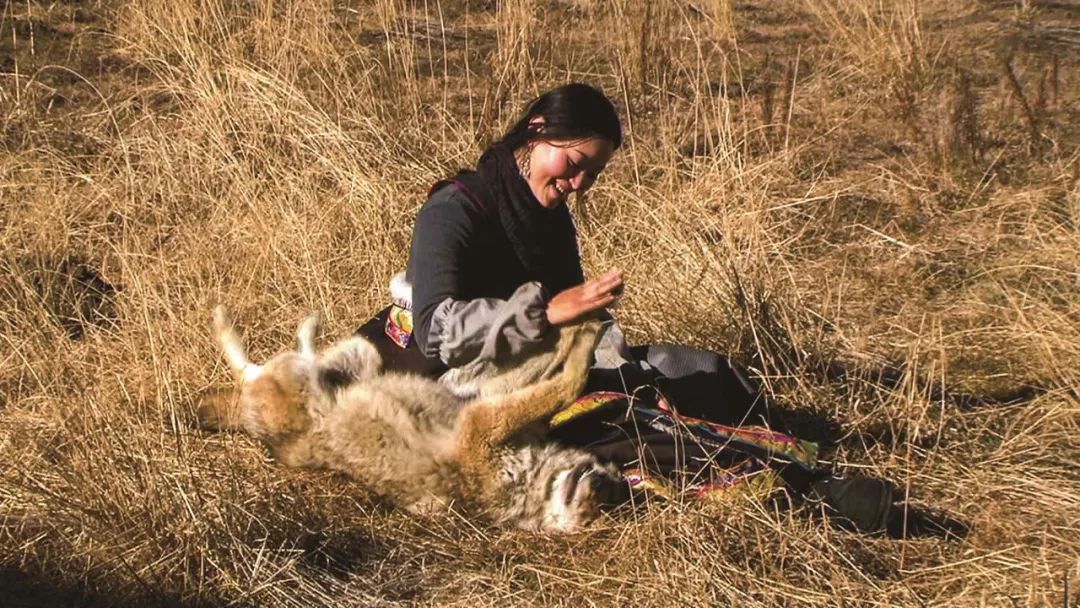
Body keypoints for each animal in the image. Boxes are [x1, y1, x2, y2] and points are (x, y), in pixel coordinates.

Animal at [198, 308, 630, 533]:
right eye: (605, 494)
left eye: (597, 509)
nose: (602, 486)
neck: (525, 480)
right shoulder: (486, 407)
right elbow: (565, 378)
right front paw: (581, 328)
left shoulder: (482, 417)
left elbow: (567, 384)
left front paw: (582, 336)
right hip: (349, 360)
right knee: (259, 362)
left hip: (327, 367)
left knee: (256, 366)